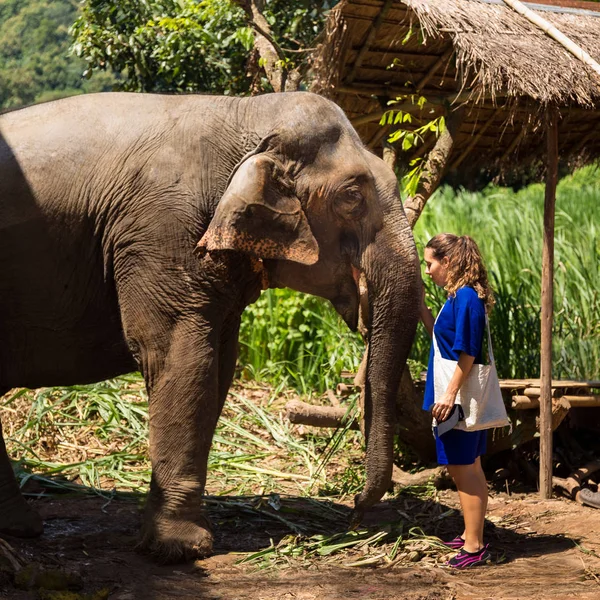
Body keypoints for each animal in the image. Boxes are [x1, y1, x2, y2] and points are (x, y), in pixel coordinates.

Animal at [0, 90, 422, 564]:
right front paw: (184, 549)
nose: (354, 511)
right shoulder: (161, 231)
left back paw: (21, 528)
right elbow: (180, 358)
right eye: (352, 196)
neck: (244, 111)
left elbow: (221, 365)